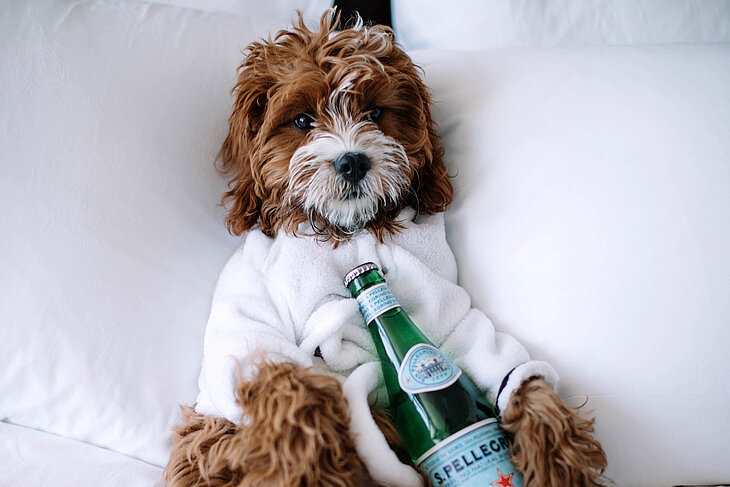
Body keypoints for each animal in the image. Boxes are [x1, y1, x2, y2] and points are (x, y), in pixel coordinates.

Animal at [164, 8, 604, 487]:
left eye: (375, 112)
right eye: (301, 121)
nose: (352, 160)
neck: (346, 232)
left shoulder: (446, 305)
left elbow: (489, 354)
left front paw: (555, 452)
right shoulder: (248, 308)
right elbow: (279, 378)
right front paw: (307, 459)